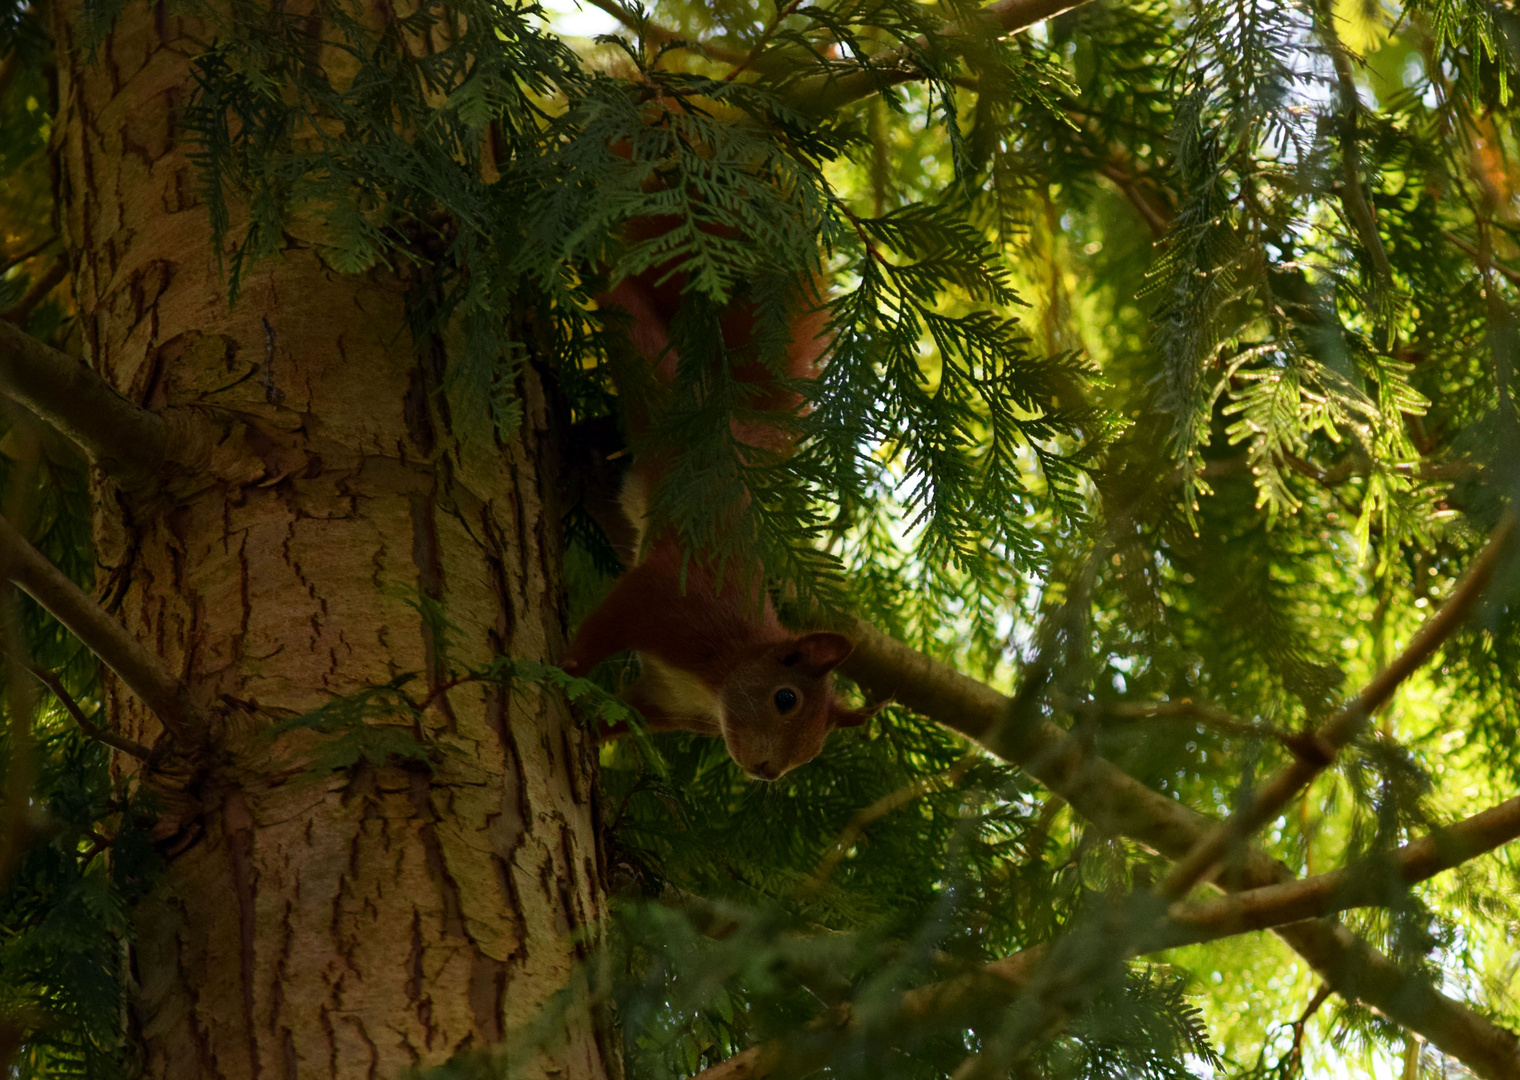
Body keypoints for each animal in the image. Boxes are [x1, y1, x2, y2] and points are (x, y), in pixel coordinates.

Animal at [562, 209, 869, 777]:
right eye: (786, 698)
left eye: (814, 749)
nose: (768, 772)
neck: (722, 674)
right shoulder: (672, 600)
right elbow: (608, 625)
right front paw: (569, 666)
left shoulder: (664, 703)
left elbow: (625, 716)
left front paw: (592, 726)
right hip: (652, 369)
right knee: (627, 307)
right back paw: (594, 264)